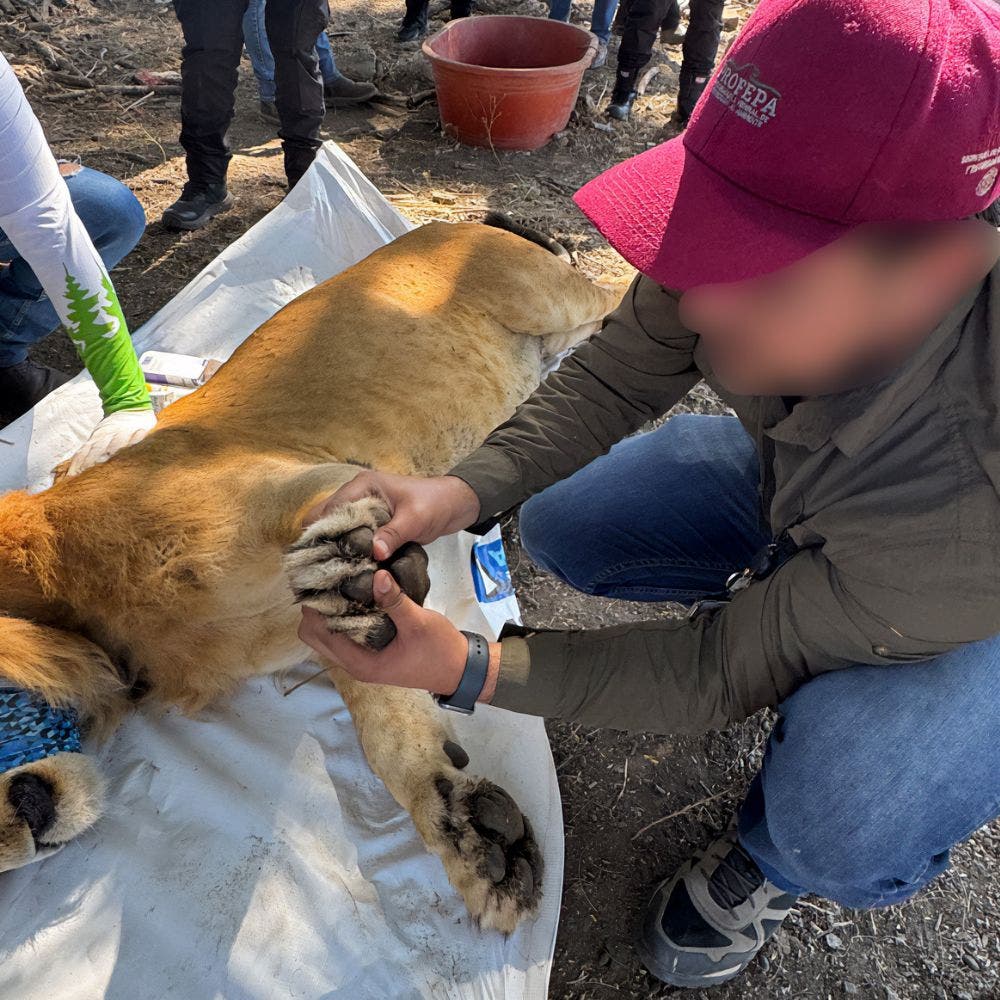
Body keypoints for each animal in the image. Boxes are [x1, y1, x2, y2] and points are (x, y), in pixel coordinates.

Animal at [0, 218, 619, 933]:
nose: (26, 825)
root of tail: (460, 221)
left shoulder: (316, 475)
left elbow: (327, 519)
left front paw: (339, 558)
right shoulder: (335, 643)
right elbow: (393, 732)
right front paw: (473, 835)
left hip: (548, 297)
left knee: (627, 295)